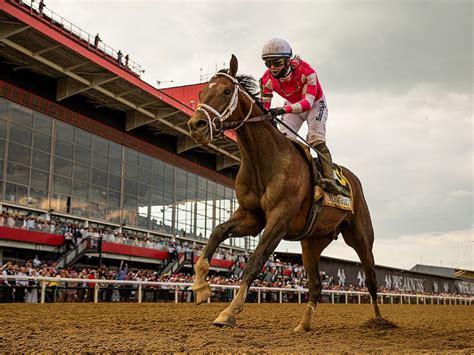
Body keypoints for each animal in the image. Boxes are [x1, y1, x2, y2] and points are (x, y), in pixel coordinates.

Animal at [186, 55, 382, 334]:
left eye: (225, 91)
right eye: (201, 93)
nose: (196, 125)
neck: (265, 160)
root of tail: (353, 179)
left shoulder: (279, 219)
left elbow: (254, 262)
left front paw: (229, 312)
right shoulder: (251, 216)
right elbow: (217, 232)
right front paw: (201, 287)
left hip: (361, 237)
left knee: (371, 279)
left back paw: (379, 322)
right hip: (312, 242)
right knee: (316, 285)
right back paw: (303, 325)